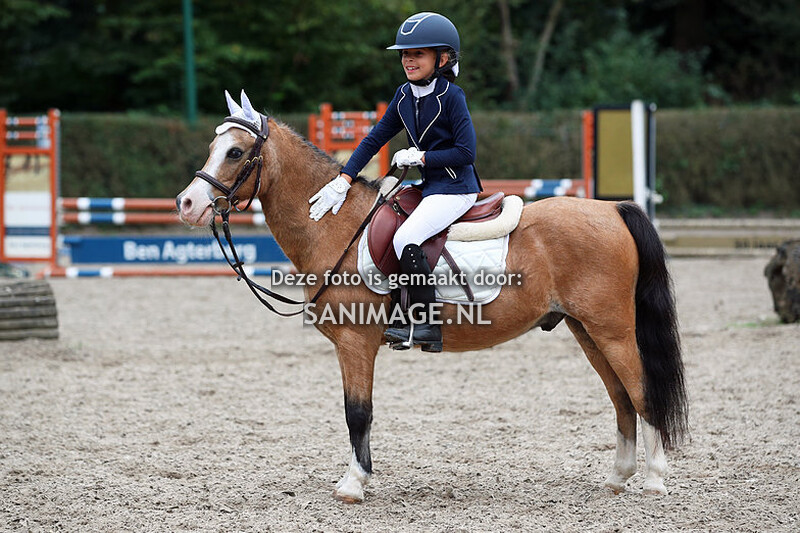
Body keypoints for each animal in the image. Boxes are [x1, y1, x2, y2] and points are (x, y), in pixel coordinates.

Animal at [176, 92, 688, 503]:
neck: (336, 228)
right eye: (212, 148)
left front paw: (353, 484)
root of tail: (613, 210)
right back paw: (618, 478)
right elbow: (357, 414)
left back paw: (654, 480)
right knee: (620, 398)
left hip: (612, 330)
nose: (187, 204)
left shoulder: (355, 343)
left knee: (640, 393)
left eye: (236, 151)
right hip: (587, 330)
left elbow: (357, 413)